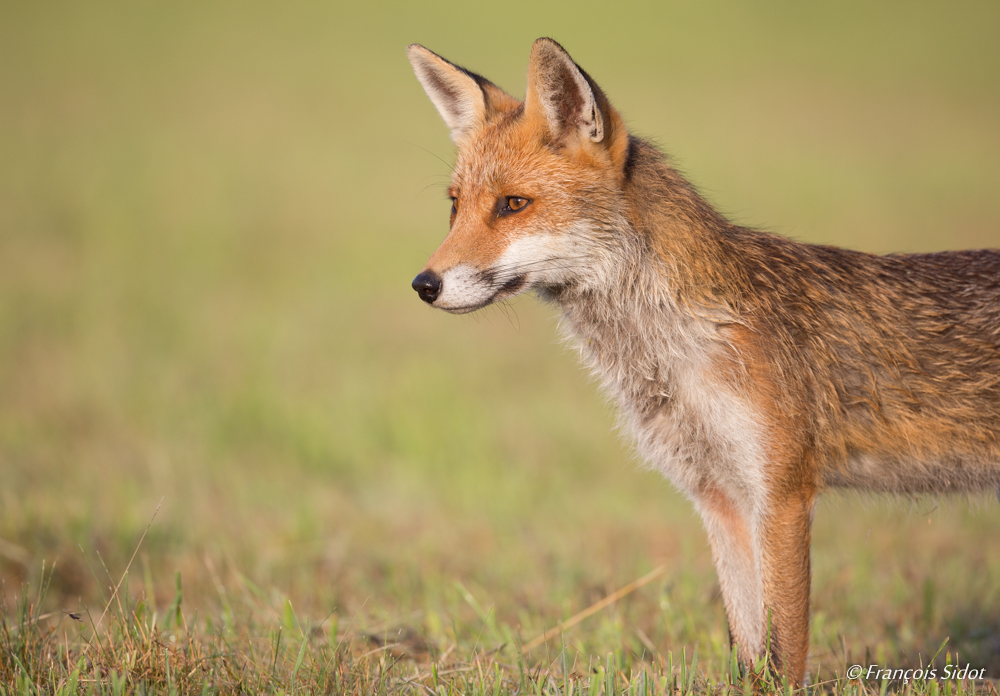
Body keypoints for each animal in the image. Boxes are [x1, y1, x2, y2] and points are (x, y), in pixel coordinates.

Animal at [406, 39, 1000, 684]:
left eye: (513, 204)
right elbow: (751, 656)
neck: (680, 347)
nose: (424, 284)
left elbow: (784, 656)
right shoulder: (718, 497)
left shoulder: (783, 495)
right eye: (455, 207)